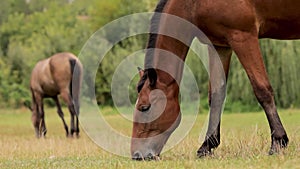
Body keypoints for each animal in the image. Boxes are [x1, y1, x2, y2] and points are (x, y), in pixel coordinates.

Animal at [132, 0, 300, 160]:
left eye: (144, 107)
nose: (137, 155)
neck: (192, 4)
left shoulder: (243, 37)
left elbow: (262, 89)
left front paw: (278, 142)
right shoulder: (219, 45)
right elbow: (216, 95)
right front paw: (207, 145)